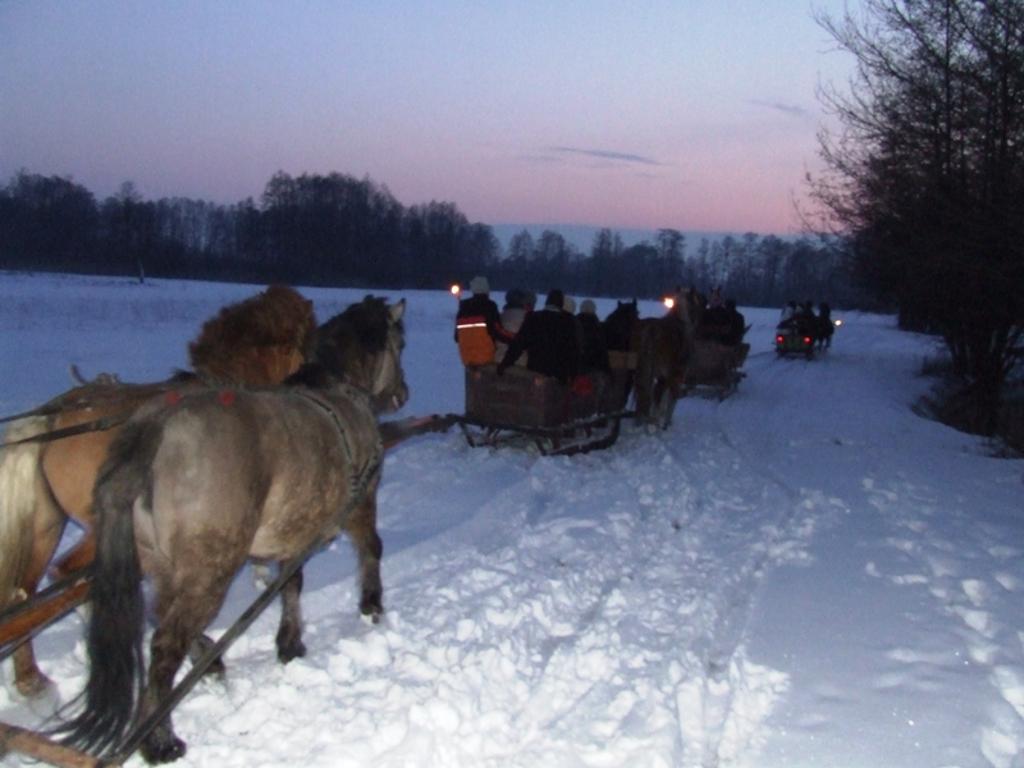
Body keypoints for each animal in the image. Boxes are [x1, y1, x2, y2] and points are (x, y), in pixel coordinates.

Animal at [0, 286, 315, 700]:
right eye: (308, 342)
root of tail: (57, 413)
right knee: (68, 576)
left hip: (45, 526)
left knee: (25, 591)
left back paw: (30, 678)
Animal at [56, 294, 407, 765]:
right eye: (399, 344)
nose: (403, 393)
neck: (336, 390)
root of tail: (156, 427)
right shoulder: (361, 502)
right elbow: (371, 548)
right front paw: (371, 604)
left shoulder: (293, 530)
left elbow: (290, 585)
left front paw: (290, 643)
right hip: (210, 569)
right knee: (165, 645)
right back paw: (160, 738)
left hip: (161, 564)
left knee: (162, 620)